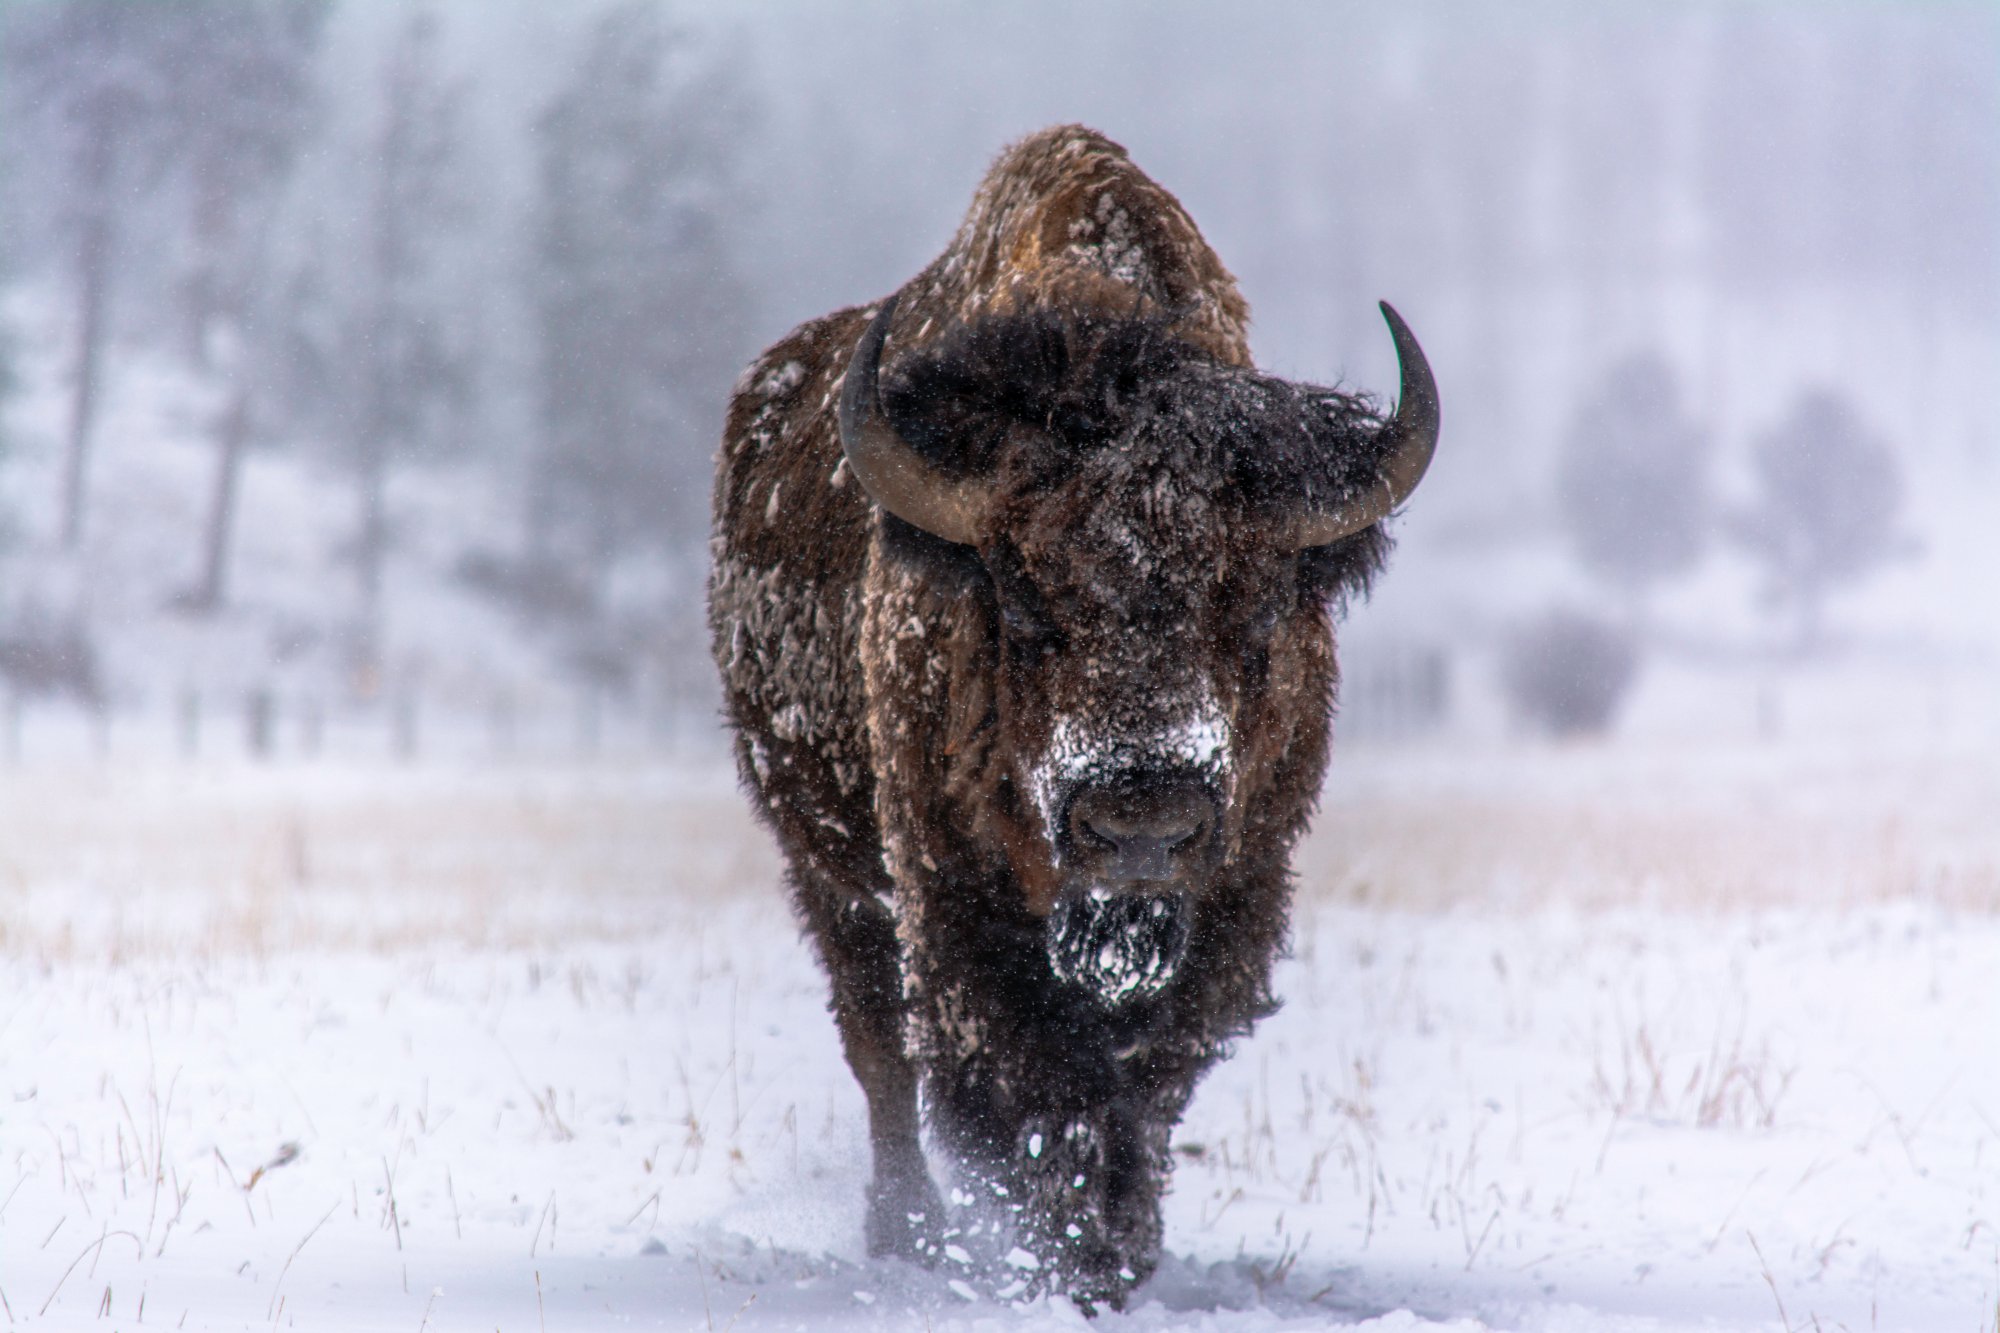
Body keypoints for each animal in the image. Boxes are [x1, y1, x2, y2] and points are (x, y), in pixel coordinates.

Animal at [708, 124, 1438, 1309]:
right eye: (1018, 600)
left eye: (1260, 602)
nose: (1139, 821)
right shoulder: (950, 897)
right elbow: (1018, 1083)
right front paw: (1050, 1255)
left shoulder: (1234, 892)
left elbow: (1141, 1085)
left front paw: (1117, 1252)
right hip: (825, 868)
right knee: (878, 1046)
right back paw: (907, 1230)